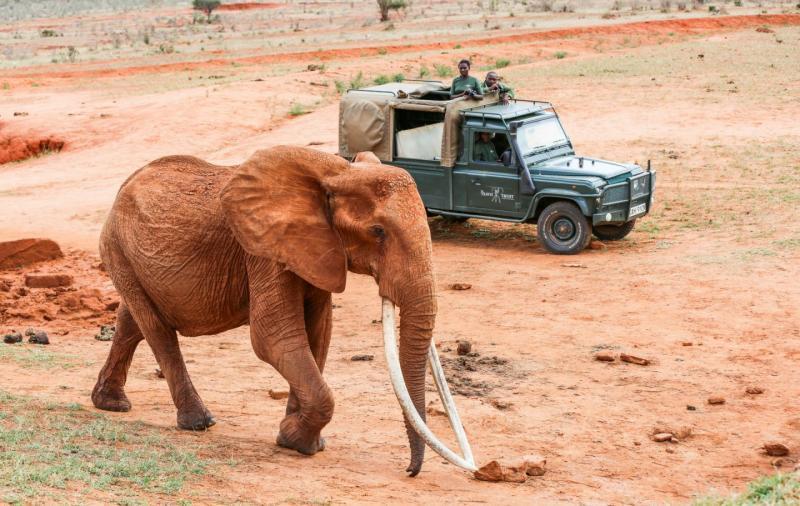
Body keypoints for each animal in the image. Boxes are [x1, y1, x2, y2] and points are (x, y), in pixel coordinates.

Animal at [90, 146, 449, 475]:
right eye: (378, 231)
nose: (409, 470)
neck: (337, 172)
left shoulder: (315, 250)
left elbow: (318, 334)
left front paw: (297, 440)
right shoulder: (263, 251)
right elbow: (273, 337)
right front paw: (297, 440)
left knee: (132, 322)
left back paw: (111, 404)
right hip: (117, 248)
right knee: (157, 331)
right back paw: (198, 422)